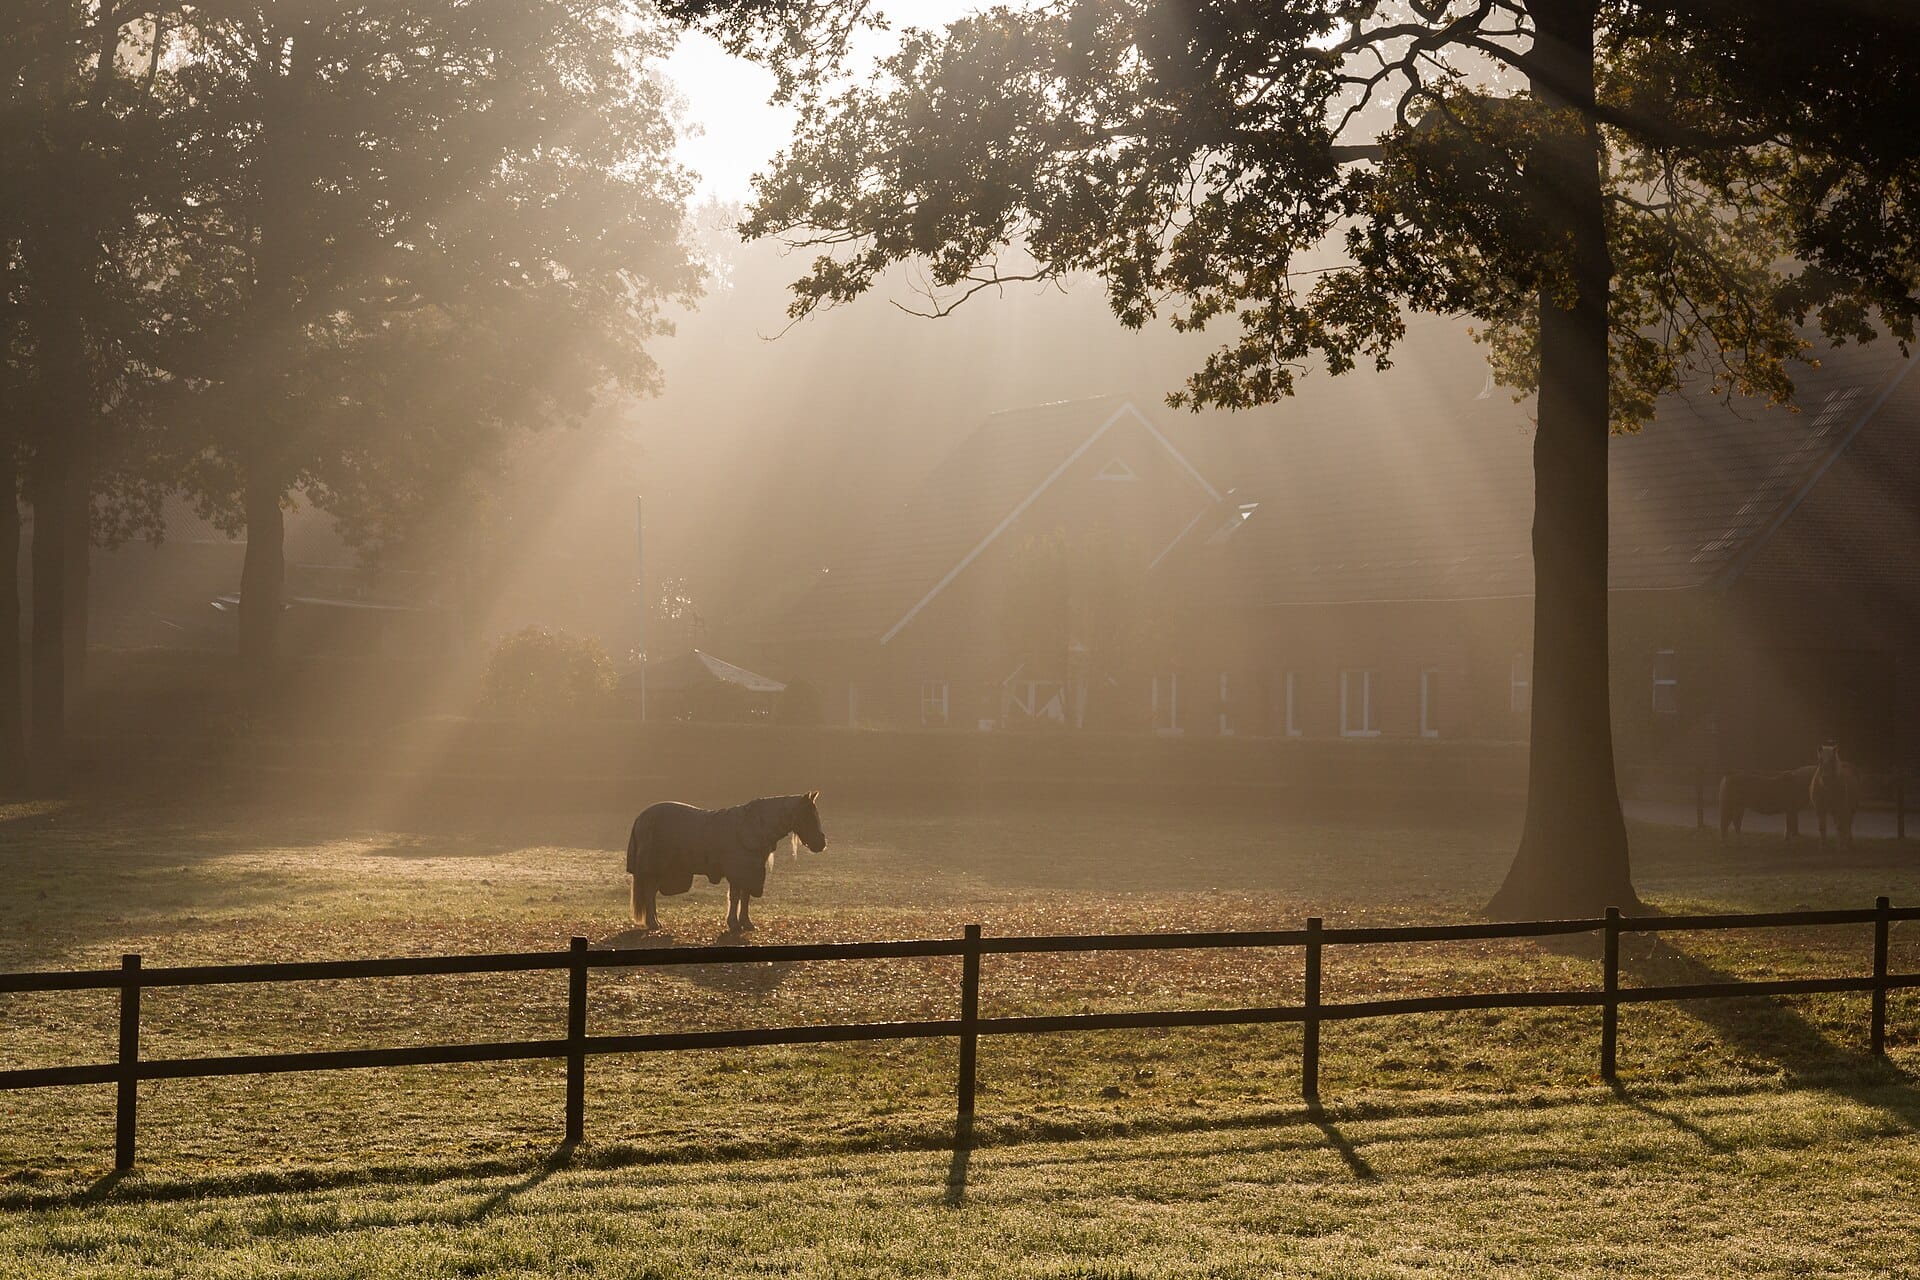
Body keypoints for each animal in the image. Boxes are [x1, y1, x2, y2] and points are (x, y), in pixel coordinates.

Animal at [625, 792, 826, 934]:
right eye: (807, 816)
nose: (821, 843)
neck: (753, 828)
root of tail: (640, 818)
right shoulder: (738, 872)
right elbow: (736, 897)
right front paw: (734, 924)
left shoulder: (749, 872)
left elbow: (745, 897)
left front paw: (746, 923)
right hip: (653, 870)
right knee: (649, 894)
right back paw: (653, 923)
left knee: (651, 894)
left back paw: (654, 921)